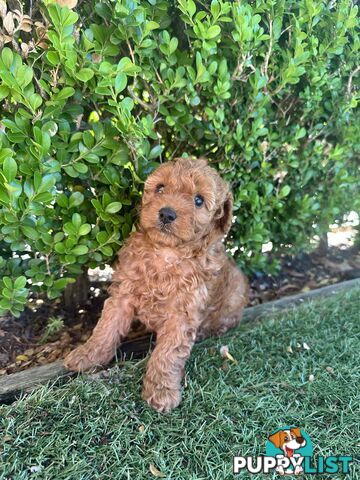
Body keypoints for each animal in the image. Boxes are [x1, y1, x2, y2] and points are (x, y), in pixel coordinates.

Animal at [64, 158, 249, 412]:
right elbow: (105, 329)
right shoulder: (123, 294)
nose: (167, 213)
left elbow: (168, 354)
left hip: (236, 294)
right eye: (160, 188)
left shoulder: (182, 315)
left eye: (198, 200)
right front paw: (87, 356)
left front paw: (161, 391)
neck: (165, 252)